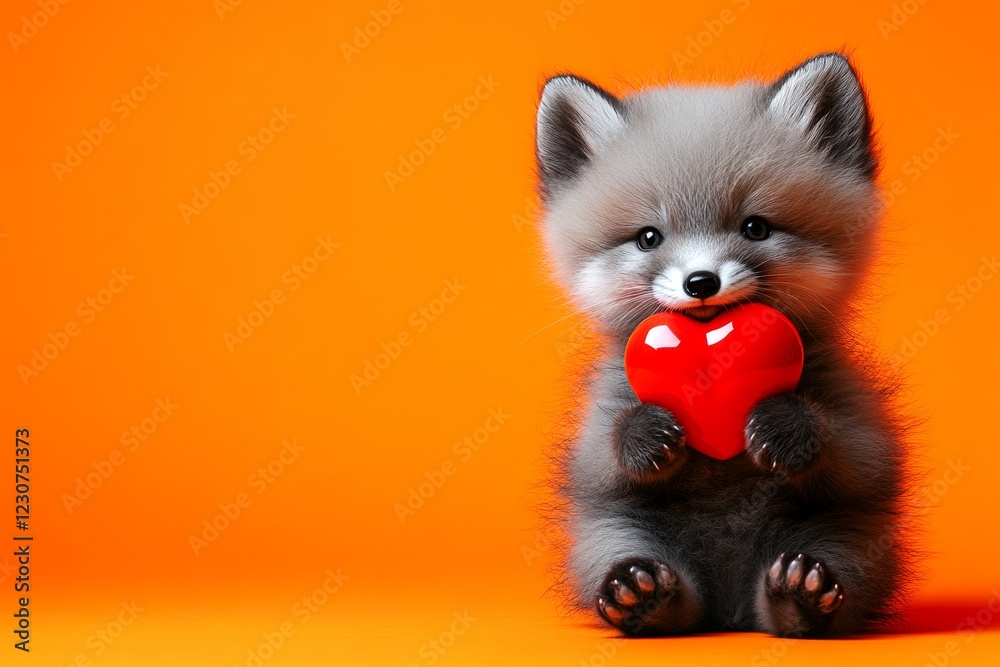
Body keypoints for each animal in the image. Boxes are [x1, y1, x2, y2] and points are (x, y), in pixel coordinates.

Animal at [535, 53, 911, 637]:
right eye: (648, 237)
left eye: (755, 227)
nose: (700, 282)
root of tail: (729, 610)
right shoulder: (596, 431)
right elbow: (606, 454)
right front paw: (648, 433)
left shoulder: (860, 425)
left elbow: (852, 451)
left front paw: (783, 427)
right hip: (613, 537)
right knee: (656, 587)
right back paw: (641, 597)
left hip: (849, 542)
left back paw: (799, 596)